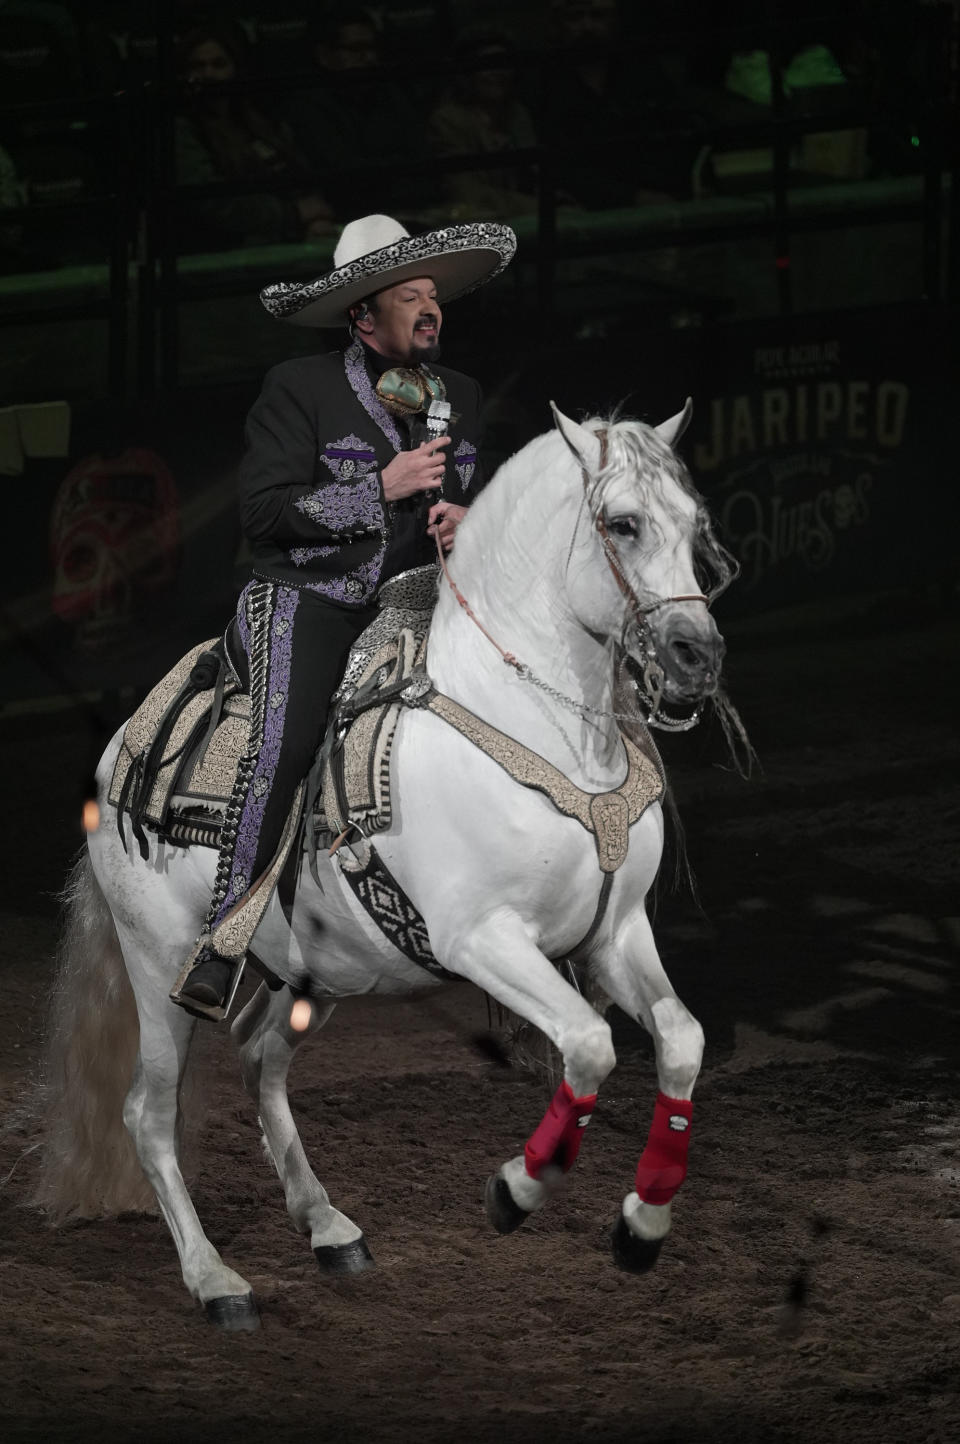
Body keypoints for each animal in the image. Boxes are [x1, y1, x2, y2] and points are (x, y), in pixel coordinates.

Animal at [31, 404, 733, 1328]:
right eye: (622, 524)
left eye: (695, 525)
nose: (697, 657)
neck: (541, 730)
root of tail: (122, 750)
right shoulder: (484, 940)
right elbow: (588, 1045)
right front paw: (516, 1190)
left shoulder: (614, 935)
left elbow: (681, 1041)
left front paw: (642, 1226)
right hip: (161, 965)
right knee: (149, 1114)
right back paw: (216, 1281)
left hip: (310, 973)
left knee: (260, 1059)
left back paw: (328, 1226)